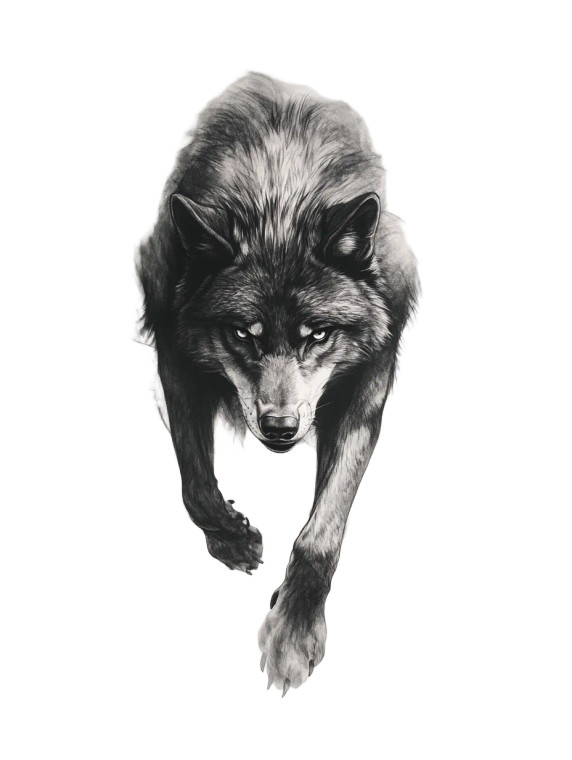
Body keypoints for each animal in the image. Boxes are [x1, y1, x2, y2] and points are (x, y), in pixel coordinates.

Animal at [136, 73, 419, 694]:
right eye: (244, 333)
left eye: (318, 334)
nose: (281, 427)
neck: (279, 196)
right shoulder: (174, 350)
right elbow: (195, 481)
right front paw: (234, 538)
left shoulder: (365, 390)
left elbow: (320, 535)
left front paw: (292, 635)